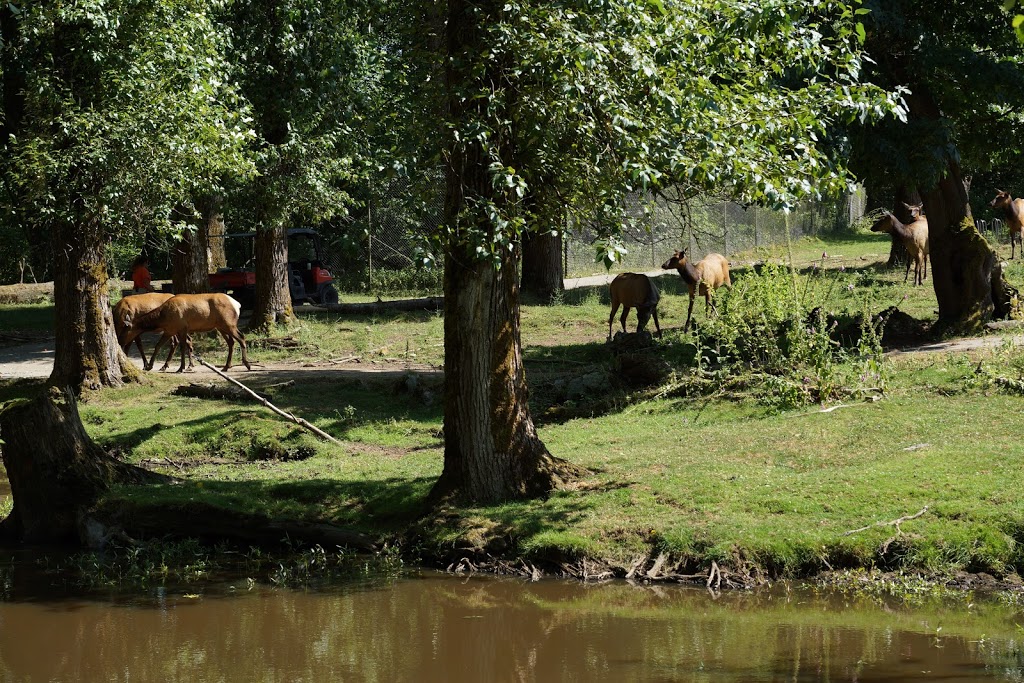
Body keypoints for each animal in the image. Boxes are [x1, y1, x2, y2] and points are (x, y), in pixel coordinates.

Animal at [120, 290, 250, 370]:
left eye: (125, 330)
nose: (121, 342)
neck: (163, 317)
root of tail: (237, 304)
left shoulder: (181, 328)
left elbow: (182, 347)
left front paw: (181, 368)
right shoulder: (170, 330)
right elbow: (159, 345)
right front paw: (149, 366)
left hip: (229, 324)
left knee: (242, 337)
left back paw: (247, 364)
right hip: (221, 327)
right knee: (231, 342)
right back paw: (226, 367)